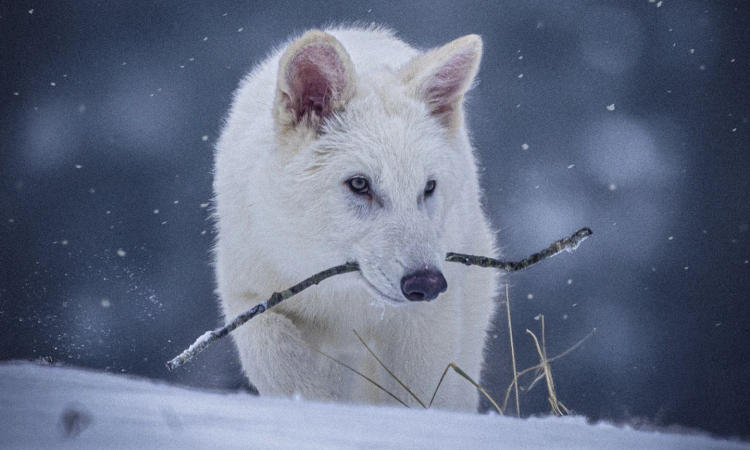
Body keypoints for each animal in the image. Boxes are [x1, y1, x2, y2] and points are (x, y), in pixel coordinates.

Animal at [213, 25, 500, 411]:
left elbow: (417, 396)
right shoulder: (249, 297)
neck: (344, 296)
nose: (426, 283)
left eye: (428, 187)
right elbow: (281, 361)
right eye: (360, 184)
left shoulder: (425, 323)